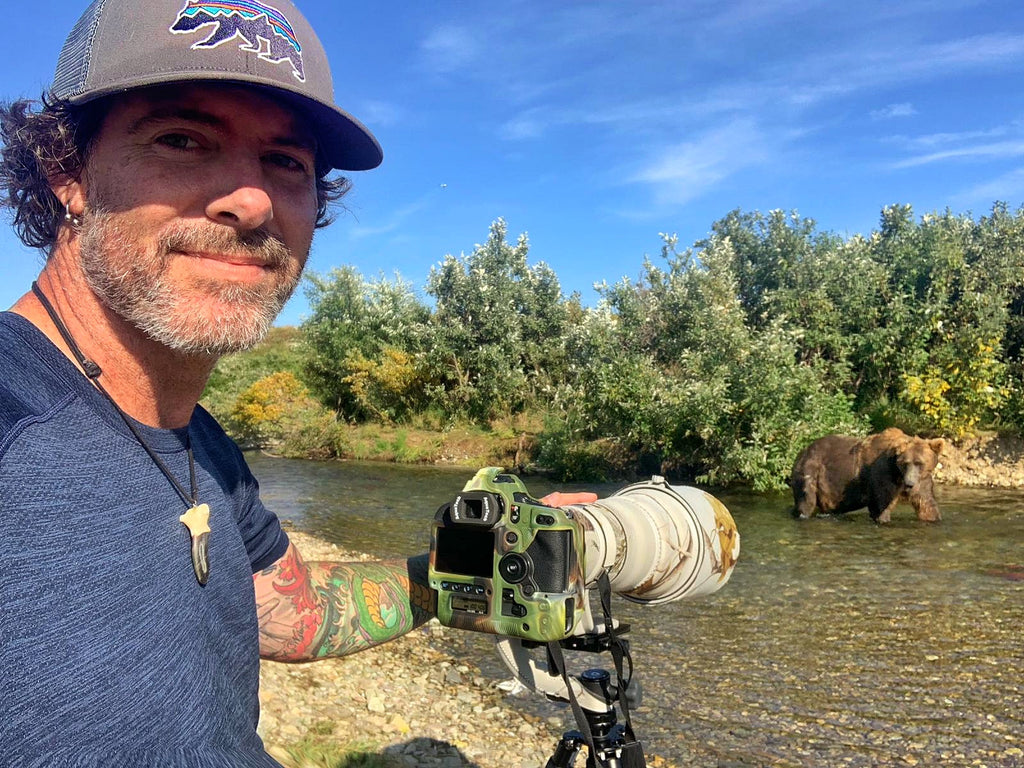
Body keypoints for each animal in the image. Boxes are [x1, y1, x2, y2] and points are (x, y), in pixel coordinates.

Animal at [790, 428, 942, 524]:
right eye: (905, 463)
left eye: (919, 463)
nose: (909, 484)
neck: (898, 474)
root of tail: (802, 451)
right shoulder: (883, 475)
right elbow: (881, 506)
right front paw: (883, 519)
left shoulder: (922, 479)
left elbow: (926, 503)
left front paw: (933, 517)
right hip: (810, 470)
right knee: (806, 500)